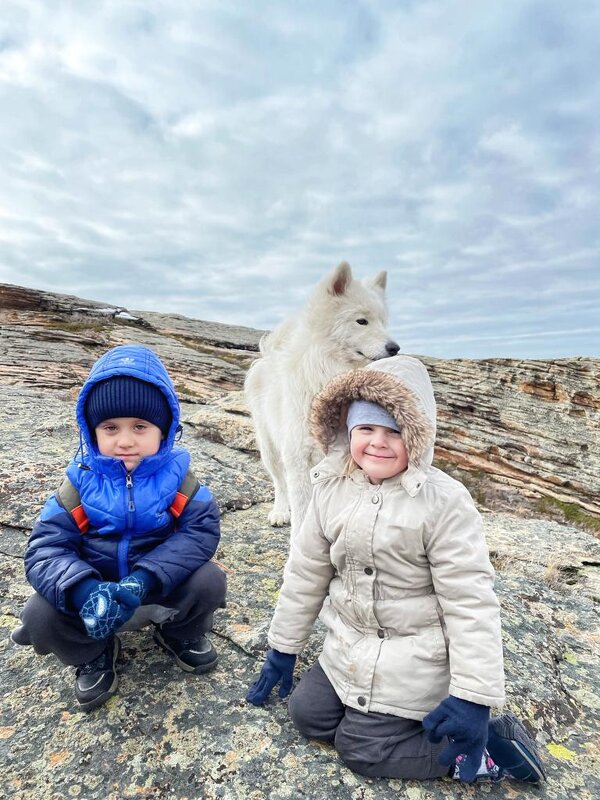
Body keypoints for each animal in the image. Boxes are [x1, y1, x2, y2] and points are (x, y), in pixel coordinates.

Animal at [244, 262, 398, 536]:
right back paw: (280, 512)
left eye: (383, 322)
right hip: (270, 447)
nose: (395, 348)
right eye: (361, 321)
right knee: (279, 482)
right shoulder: (298, 458)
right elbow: (302, 514)